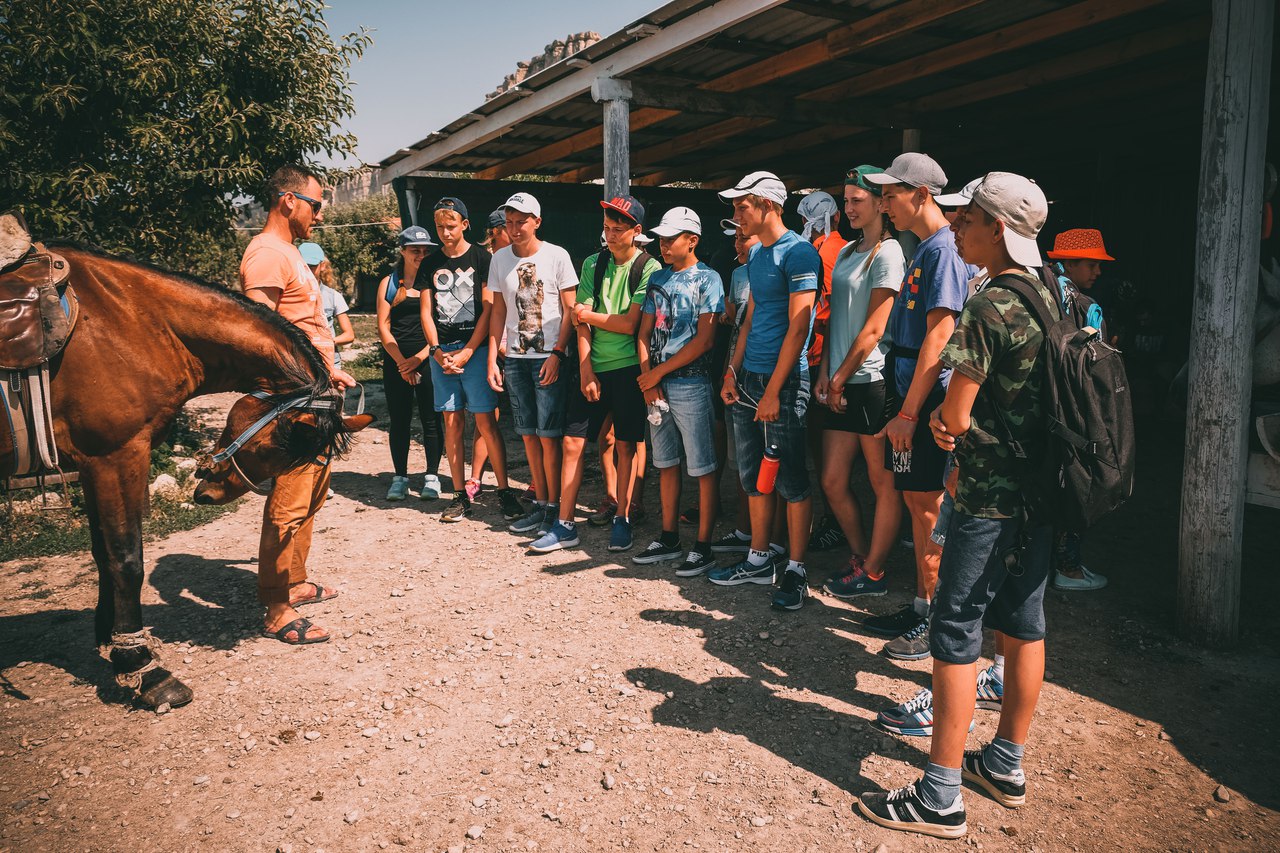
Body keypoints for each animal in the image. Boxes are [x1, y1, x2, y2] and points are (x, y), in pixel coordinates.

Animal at [3, 244, 373, 701]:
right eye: (269, 448)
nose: (204, 494)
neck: (134, 323)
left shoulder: (94, 464)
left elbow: (103, 553)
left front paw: (109, 639)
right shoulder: (114, 456)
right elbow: (126, 559)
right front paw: (141, 666)